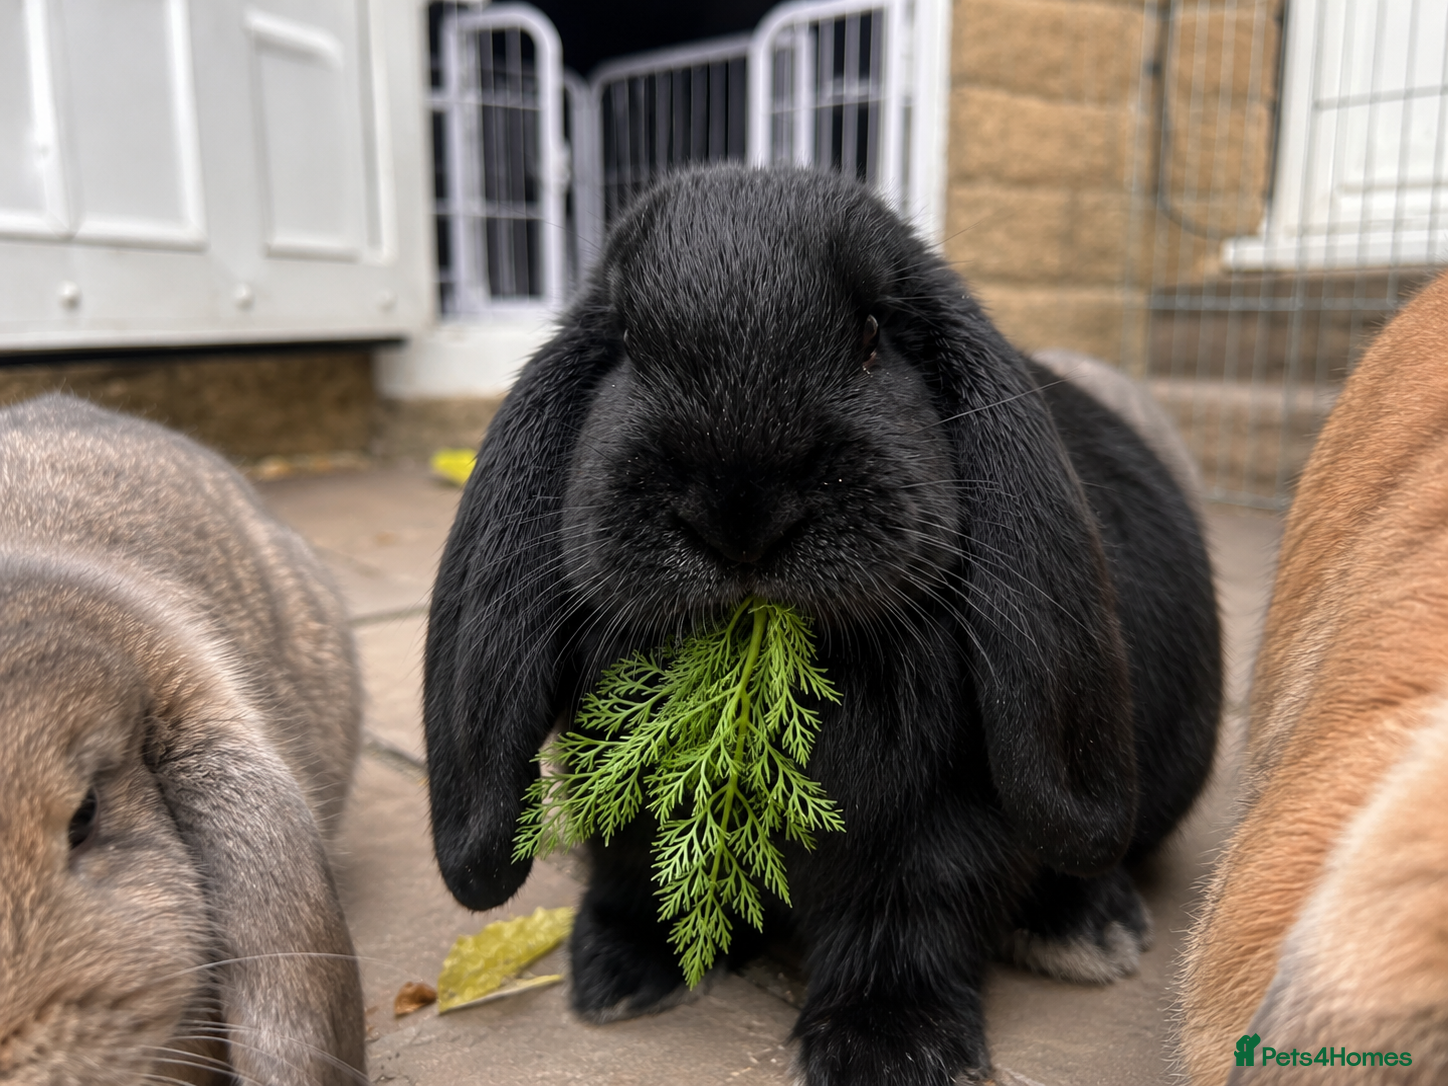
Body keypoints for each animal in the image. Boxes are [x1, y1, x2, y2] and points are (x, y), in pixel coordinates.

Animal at [423, 167, 1221, 1085]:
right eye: (624, 341)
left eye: (875, 333)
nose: (740, 510)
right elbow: (633, 869)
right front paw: (619, 975)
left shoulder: (938, 823)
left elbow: (913, 916)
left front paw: (889, 1050)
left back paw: (1089, 932)